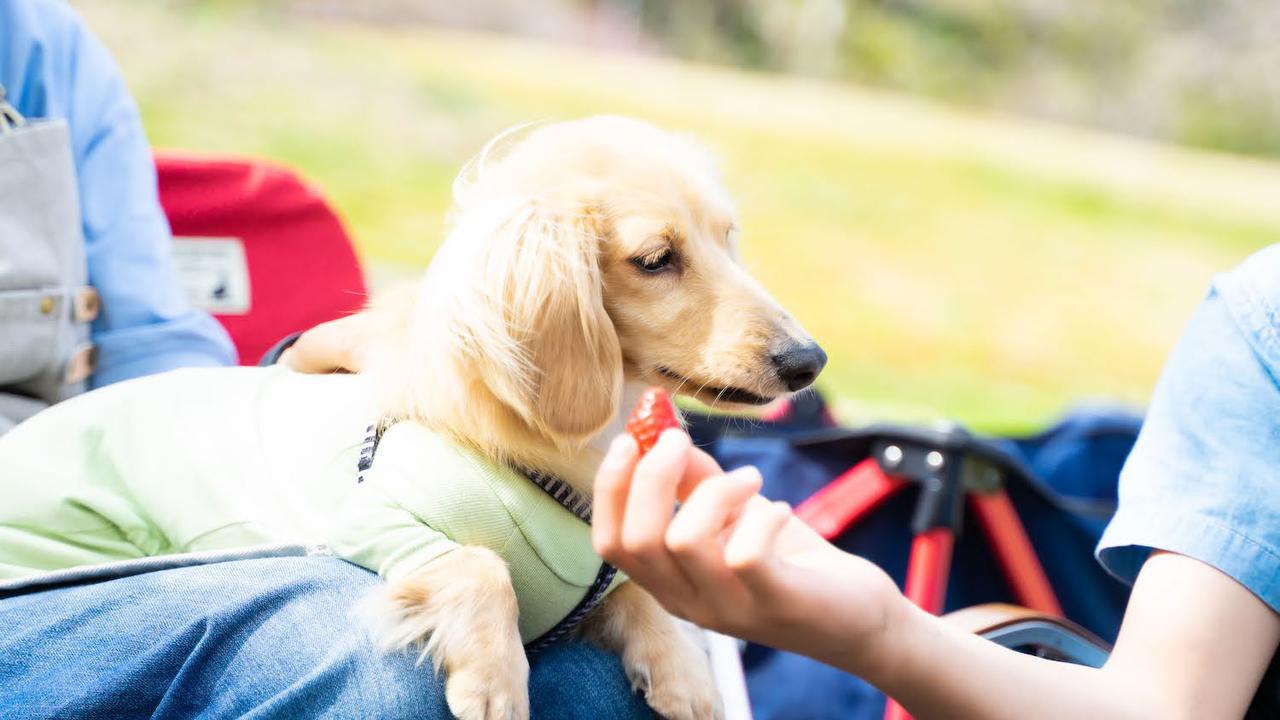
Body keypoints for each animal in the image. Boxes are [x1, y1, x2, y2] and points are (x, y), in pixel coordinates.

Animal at [366, 117, 829, 717]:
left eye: (727, 239)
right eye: (656, 259)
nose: (809, 362)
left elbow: (636, 590)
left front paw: (684, 674)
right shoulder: (365, 515)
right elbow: (479, 565)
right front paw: (495, 682)